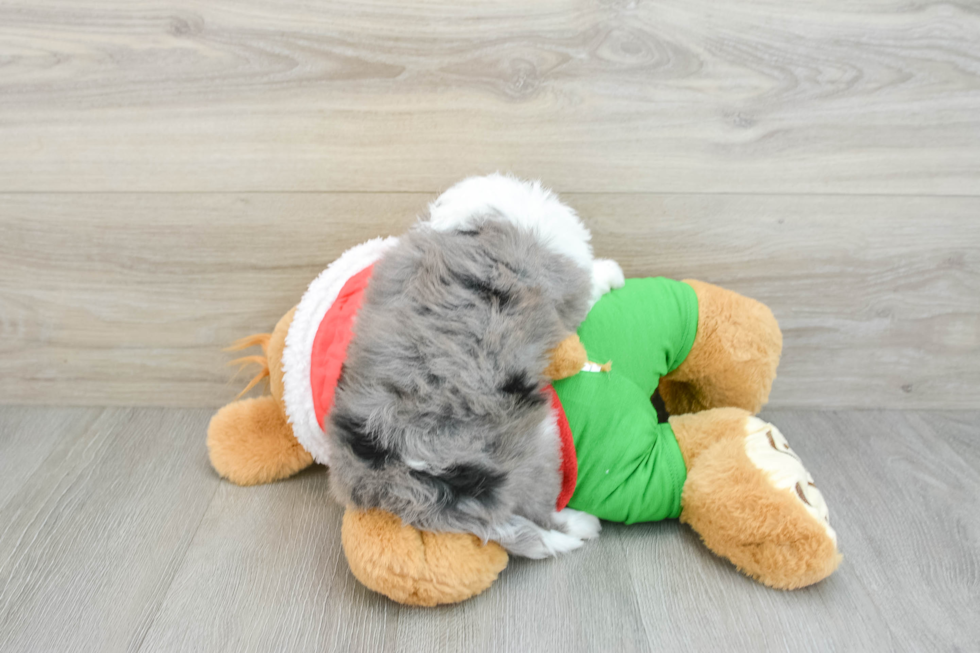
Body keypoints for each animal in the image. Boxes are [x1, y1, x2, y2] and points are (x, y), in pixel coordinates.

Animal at [328, 173, 620, 556]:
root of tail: (407, 475)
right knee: (540, 510)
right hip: (541, 438)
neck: (480, 225)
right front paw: (612, 272)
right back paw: (581, 524)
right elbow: (592, 283)